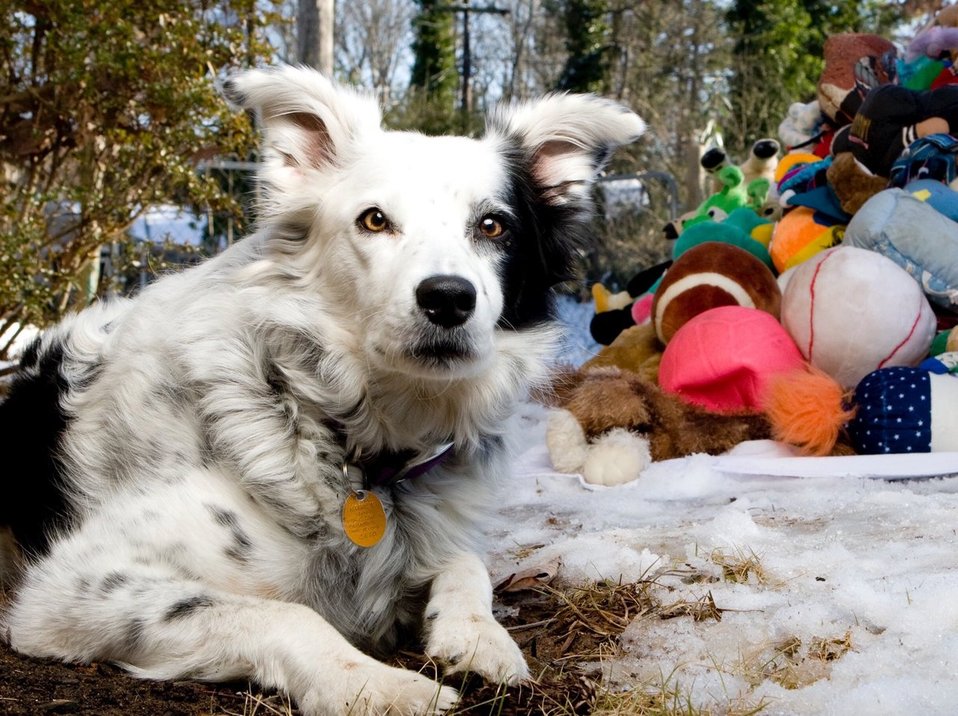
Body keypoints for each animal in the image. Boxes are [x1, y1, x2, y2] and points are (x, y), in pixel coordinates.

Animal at [1, 67, 644, 716]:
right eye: (374, 220)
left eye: (493, 225)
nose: (447, 298)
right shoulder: (72, 586)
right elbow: (282, 614)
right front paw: (380, 685)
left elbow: (466, 564)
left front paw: (478, 638)